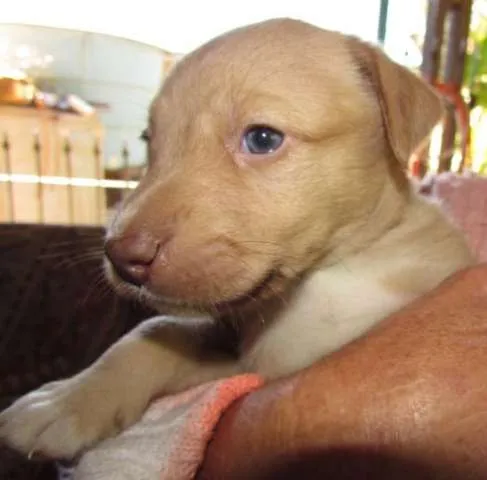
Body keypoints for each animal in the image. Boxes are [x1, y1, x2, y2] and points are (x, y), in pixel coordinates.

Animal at [0, 18, 472, 460]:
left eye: (262, 138)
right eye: (150, 141)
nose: (120, 256)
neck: (330, 277)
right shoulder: (246, 367)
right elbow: (157, 331)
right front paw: (67, 401)